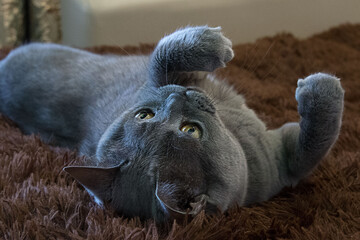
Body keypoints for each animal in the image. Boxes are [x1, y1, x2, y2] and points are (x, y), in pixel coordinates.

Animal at [0, 25, 344, 221]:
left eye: (144, 114)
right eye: (190, 130)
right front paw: (320, 86)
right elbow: (314, 142)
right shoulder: (283, 166)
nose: (177, 96)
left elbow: (163, 56)